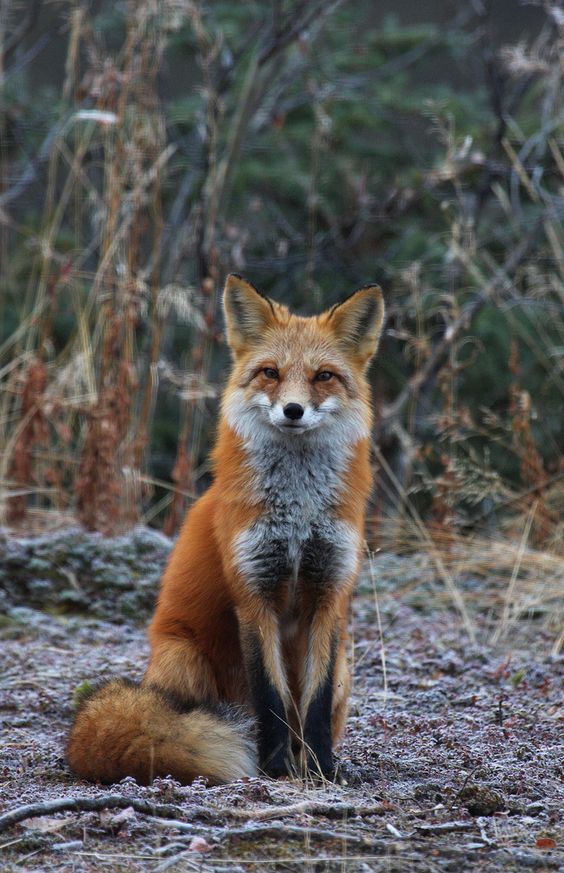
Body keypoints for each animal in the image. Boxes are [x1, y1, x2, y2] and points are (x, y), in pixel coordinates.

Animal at [66, 272, 384, 784]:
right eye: (271, 372)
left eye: (323, 376)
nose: (293, 410)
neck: (297, 516)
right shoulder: (253, 593)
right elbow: (271, 697)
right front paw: (275, 769)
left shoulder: (329, 594)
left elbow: (311, 704)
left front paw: (321, 770)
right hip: (183, 659)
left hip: (345, 671)